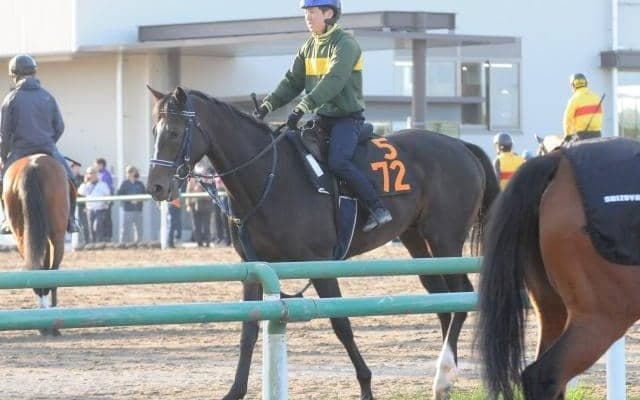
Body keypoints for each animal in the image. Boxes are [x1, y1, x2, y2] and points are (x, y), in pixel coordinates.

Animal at [2, 154, 71, 336]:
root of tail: (31, 165)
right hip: (57, 235)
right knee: (51, 270)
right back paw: (50, 322)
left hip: (20, 234)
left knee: (36, 268)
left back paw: (42, 320)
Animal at [146, 86, 500, 400]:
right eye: (154, 131)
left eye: (174, 132)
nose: (156, 187)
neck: (269, 176)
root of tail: (462, 145)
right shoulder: (253, 266)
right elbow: (248, 329)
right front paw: (234, 391)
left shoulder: (319, 264)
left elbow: (340, 322)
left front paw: (366, 385)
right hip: (416, 241)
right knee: (444, 301)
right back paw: (446, 375)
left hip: (444, 238)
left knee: (462, 295)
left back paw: (444, 375)